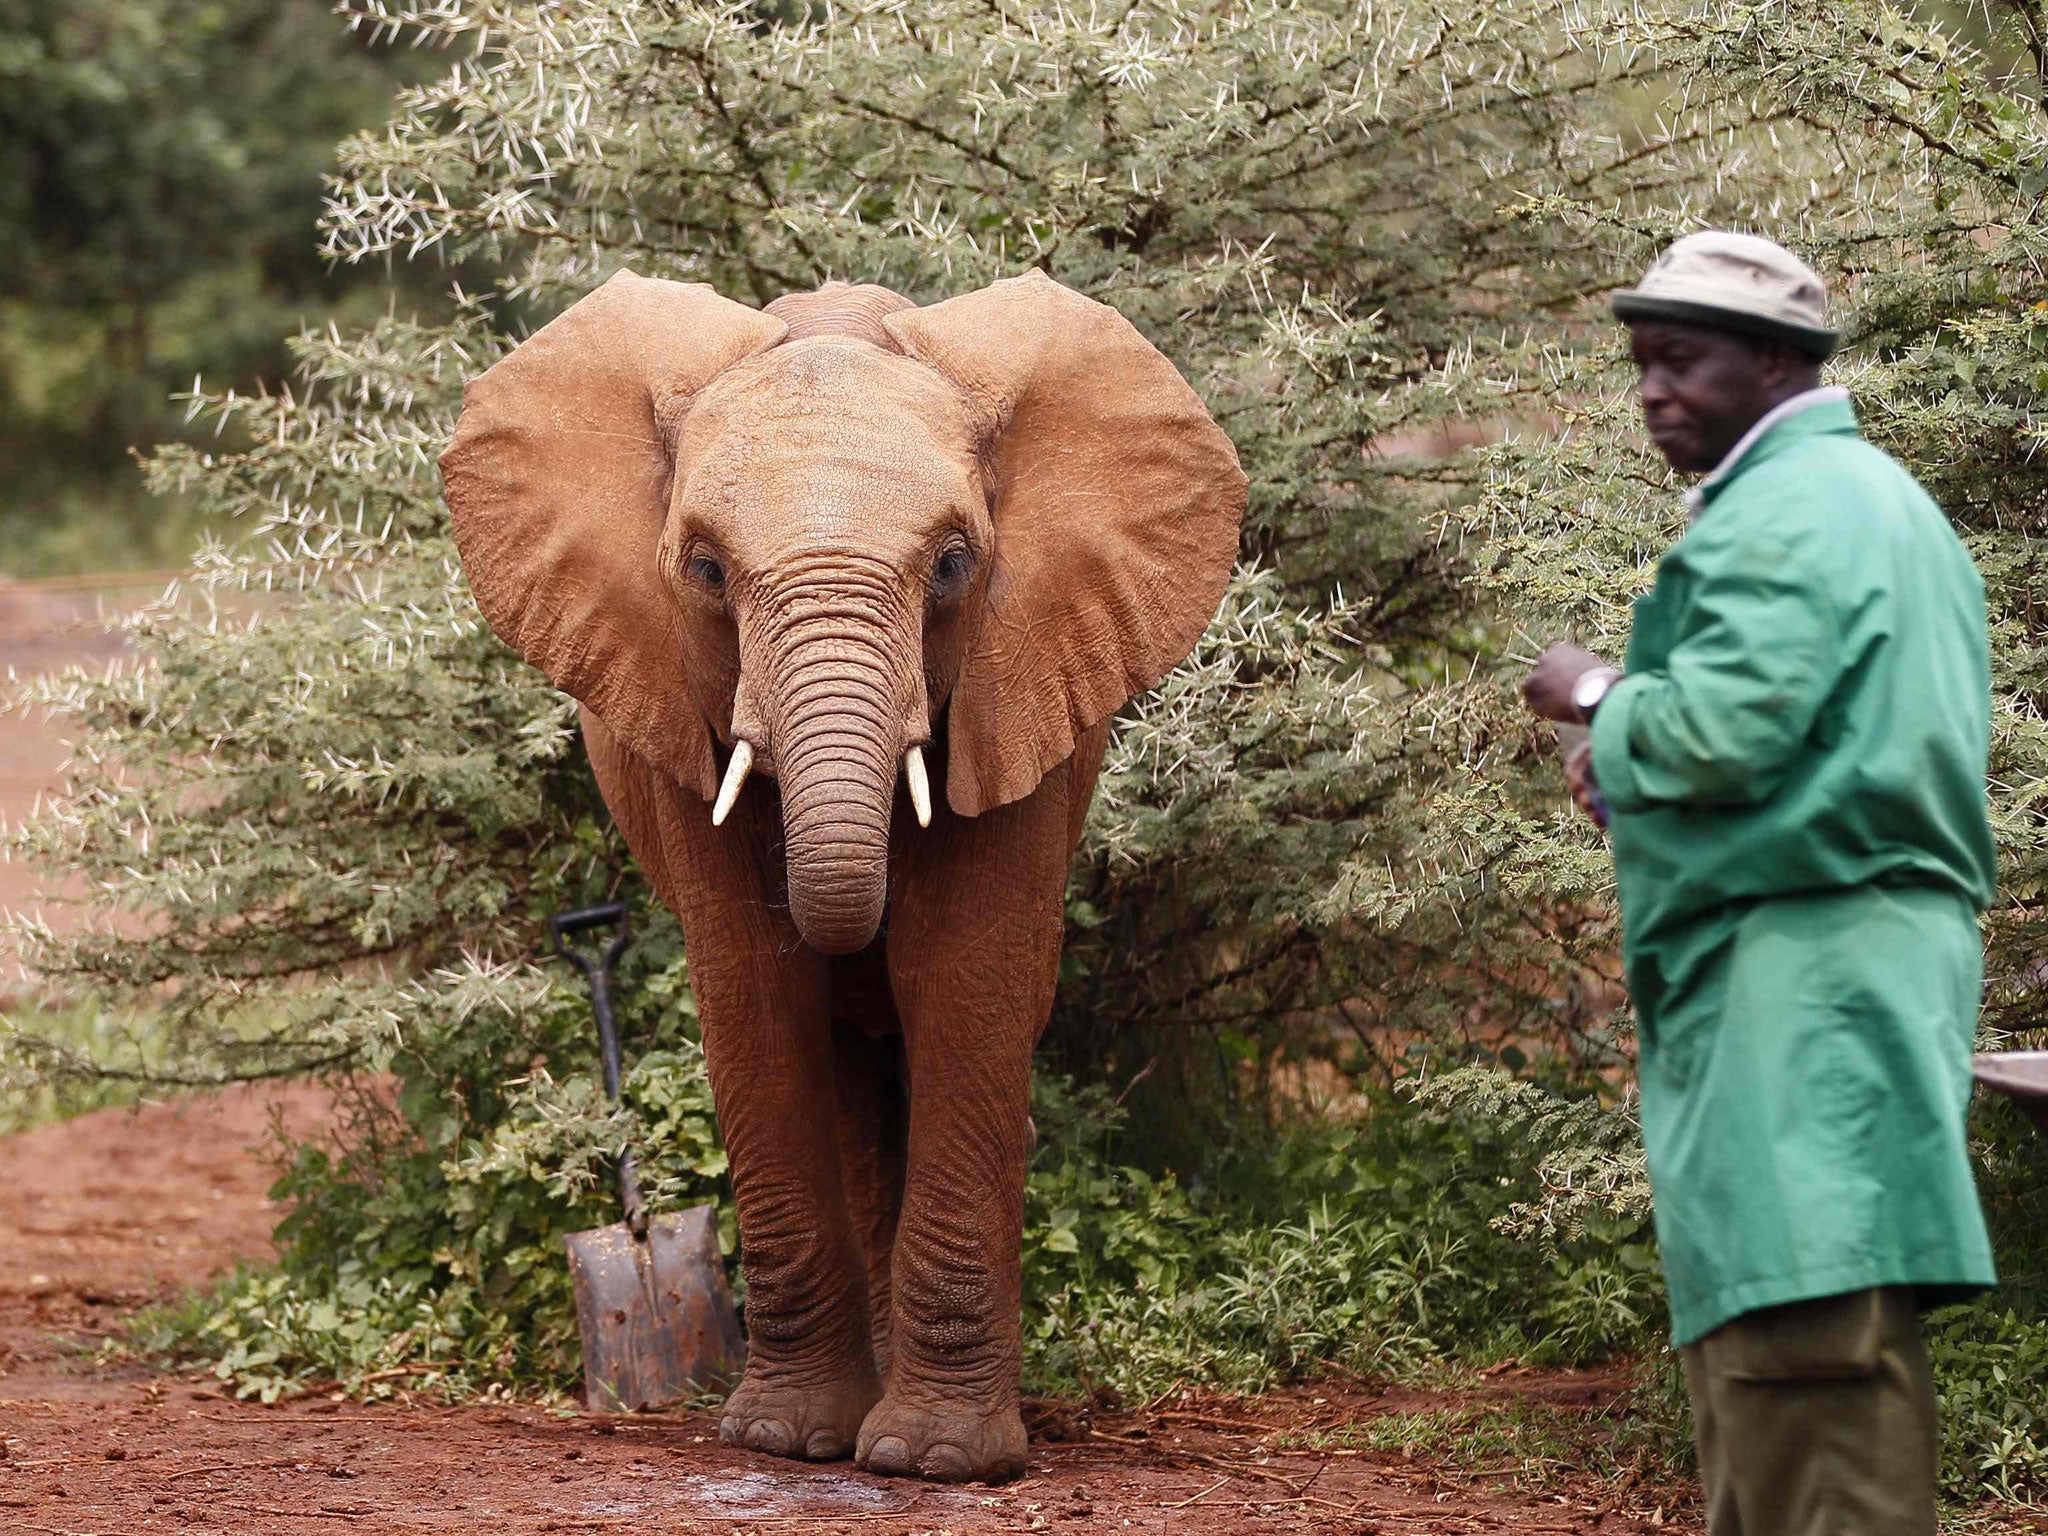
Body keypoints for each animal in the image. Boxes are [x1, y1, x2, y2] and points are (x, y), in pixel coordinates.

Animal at [444, 270, 1245, 1482]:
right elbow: (759, 995)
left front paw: (937, 1463)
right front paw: (786, 1441)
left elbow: (964, 985)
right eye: (706, 569)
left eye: (954, 564)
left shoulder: (1017, 686)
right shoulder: (680, 710)